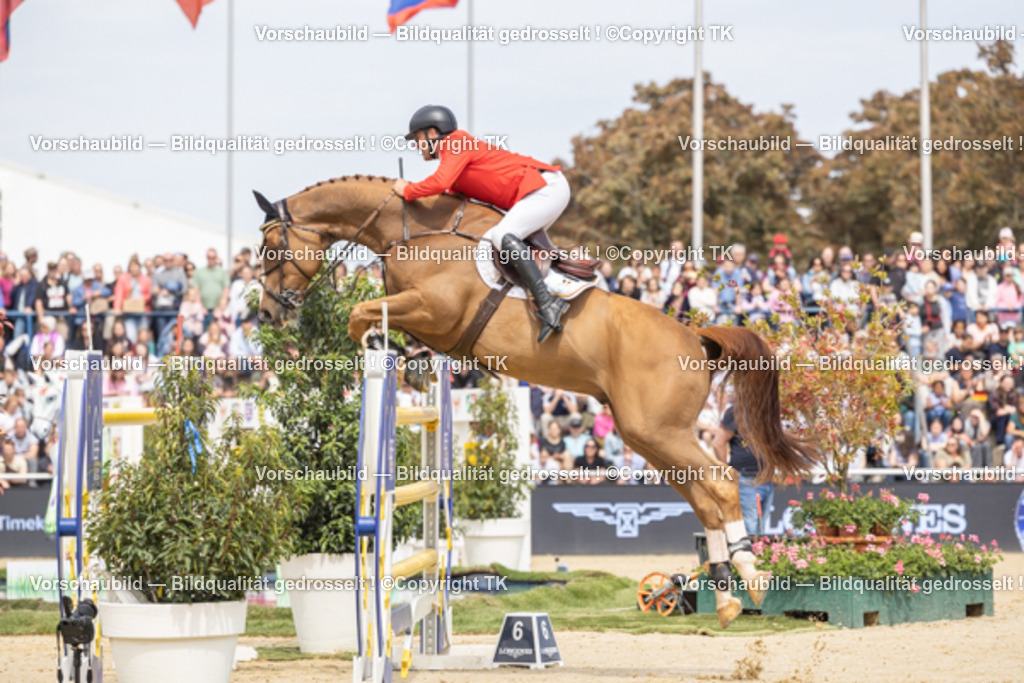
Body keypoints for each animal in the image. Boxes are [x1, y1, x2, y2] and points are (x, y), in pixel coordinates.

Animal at [253, 174, 818, 627]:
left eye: (270, 250)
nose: (268, 314)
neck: (414, 231)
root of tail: (695, 337)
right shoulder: (428, 321)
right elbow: (380, 322)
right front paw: (403, 358)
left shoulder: (433, 308)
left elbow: (360, 314)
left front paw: (381, 345)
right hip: (648, 434)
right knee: (702, 496)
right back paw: (725, 597)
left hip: (658, 431)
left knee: (720, 483)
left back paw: (751, 579)